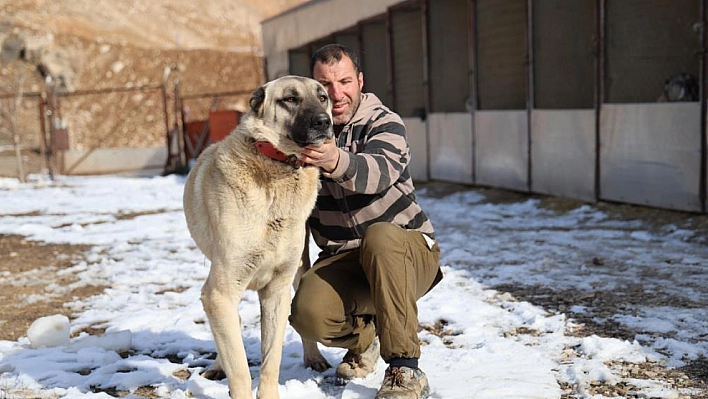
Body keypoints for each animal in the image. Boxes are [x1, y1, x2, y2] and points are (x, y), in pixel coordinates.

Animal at [184, 76, 336, 399]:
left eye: (323, 97)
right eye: (290, 99)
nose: (324, 122)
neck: (278, 165)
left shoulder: (276, 291)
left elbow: (271, 361)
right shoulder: (220, 291)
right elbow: (240, 367)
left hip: (298, 270)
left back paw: (314, 357)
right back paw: (218, 365)